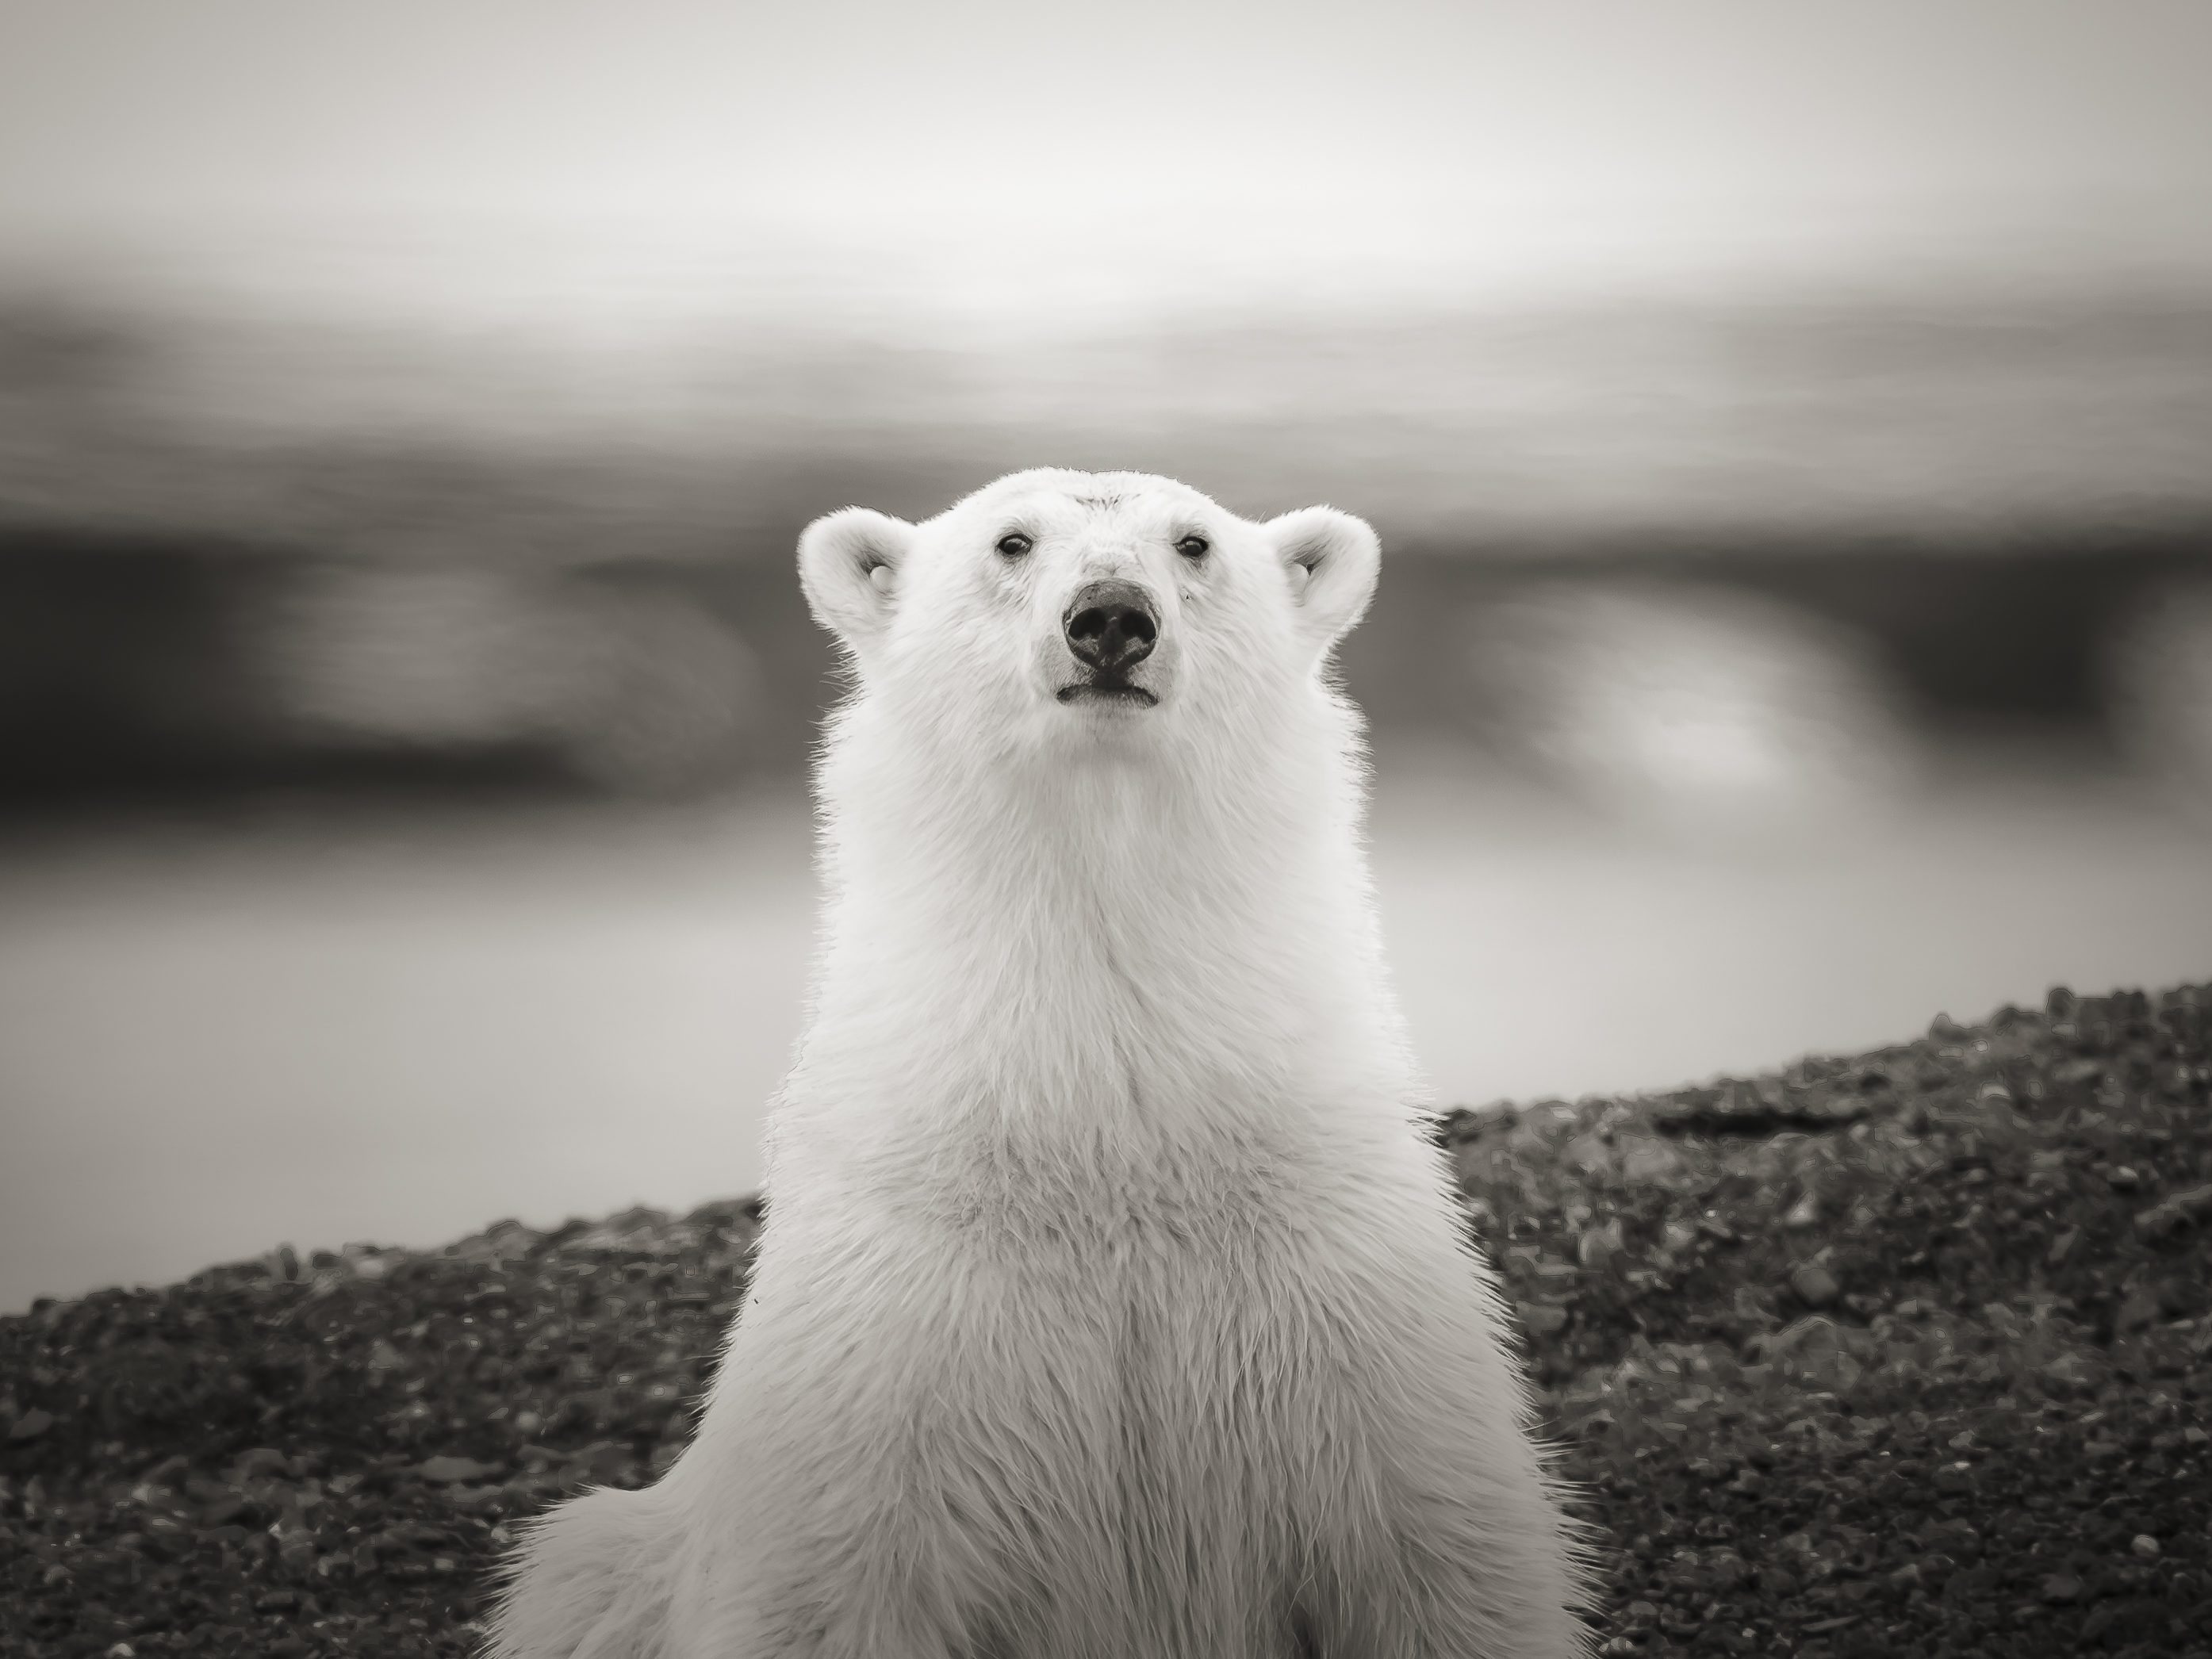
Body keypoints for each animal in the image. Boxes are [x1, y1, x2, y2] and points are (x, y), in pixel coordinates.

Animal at [490, 468, 1593, 1659]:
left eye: (1192, 542)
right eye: (1011, 540)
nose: (1110, 617)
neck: (1104, 1147)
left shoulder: (1344, 1307)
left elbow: (1448, 1567)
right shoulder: (886, 1339)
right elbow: (823, 1592)